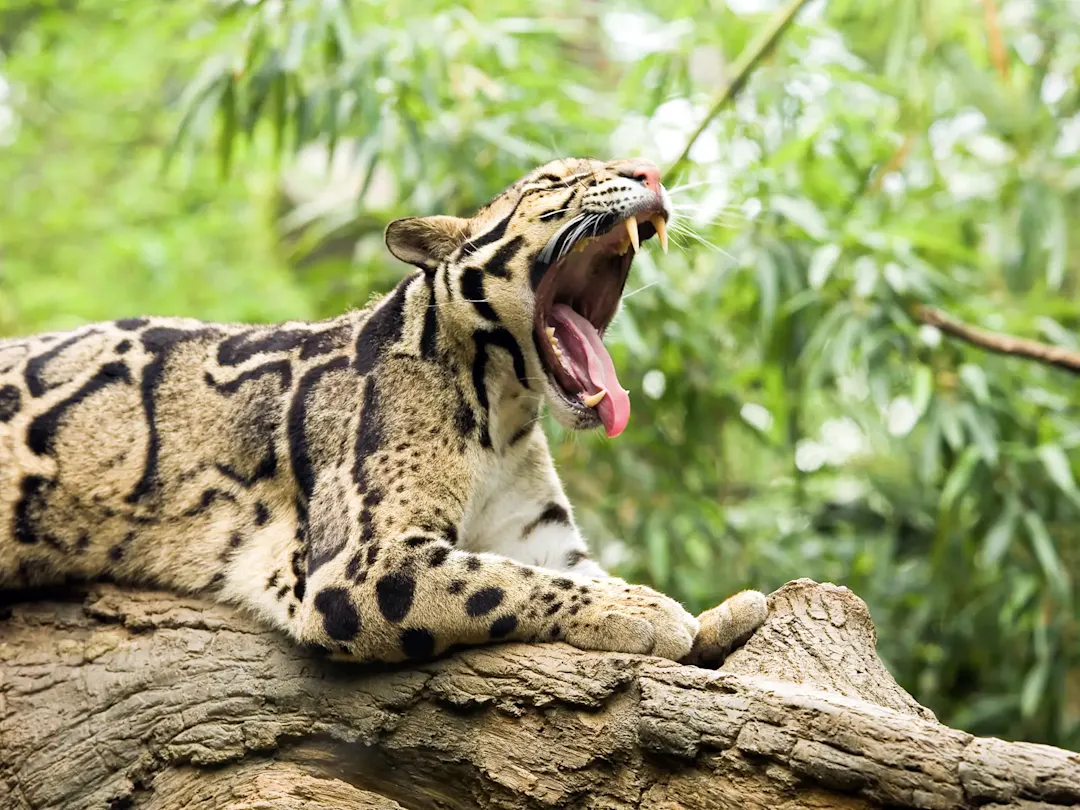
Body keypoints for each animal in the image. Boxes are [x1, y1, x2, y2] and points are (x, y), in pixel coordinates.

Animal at [0, 156, 768, 665]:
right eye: (554, 182)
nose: (651, 172)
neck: (503, 416)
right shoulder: (361, 564)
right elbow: (500, 582)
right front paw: (644, 610)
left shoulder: (538, 533)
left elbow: (561, 572)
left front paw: (717, 614)